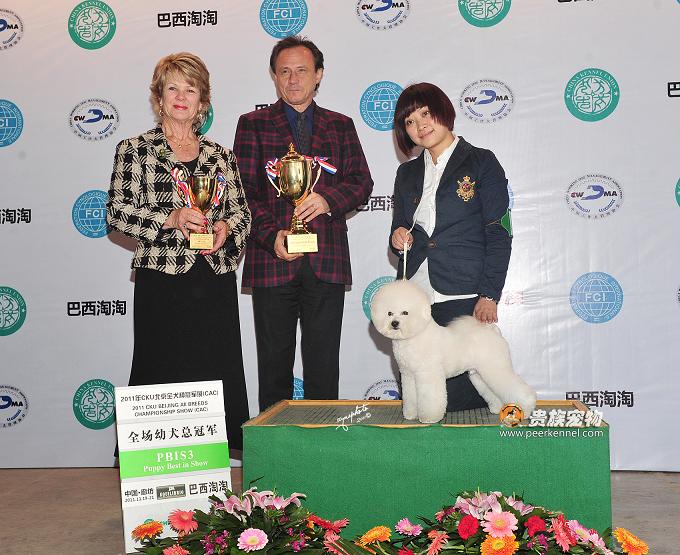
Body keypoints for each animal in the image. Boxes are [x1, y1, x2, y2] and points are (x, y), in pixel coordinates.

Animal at [370, 279, 536, 423]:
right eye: (389, 313)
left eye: (405, 313)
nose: (394, 323)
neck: (414, 336)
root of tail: (493, 331)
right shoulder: (409, 376)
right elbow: (411, 397)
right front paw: (411, 415)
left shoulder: (427, 374)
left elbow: (430, 398)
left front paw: (429, 418)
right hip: (479, 374)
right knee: (493, 391)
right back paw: (498, 408)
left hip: (495, 367)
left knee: (515, 388)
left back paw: (526, 409)